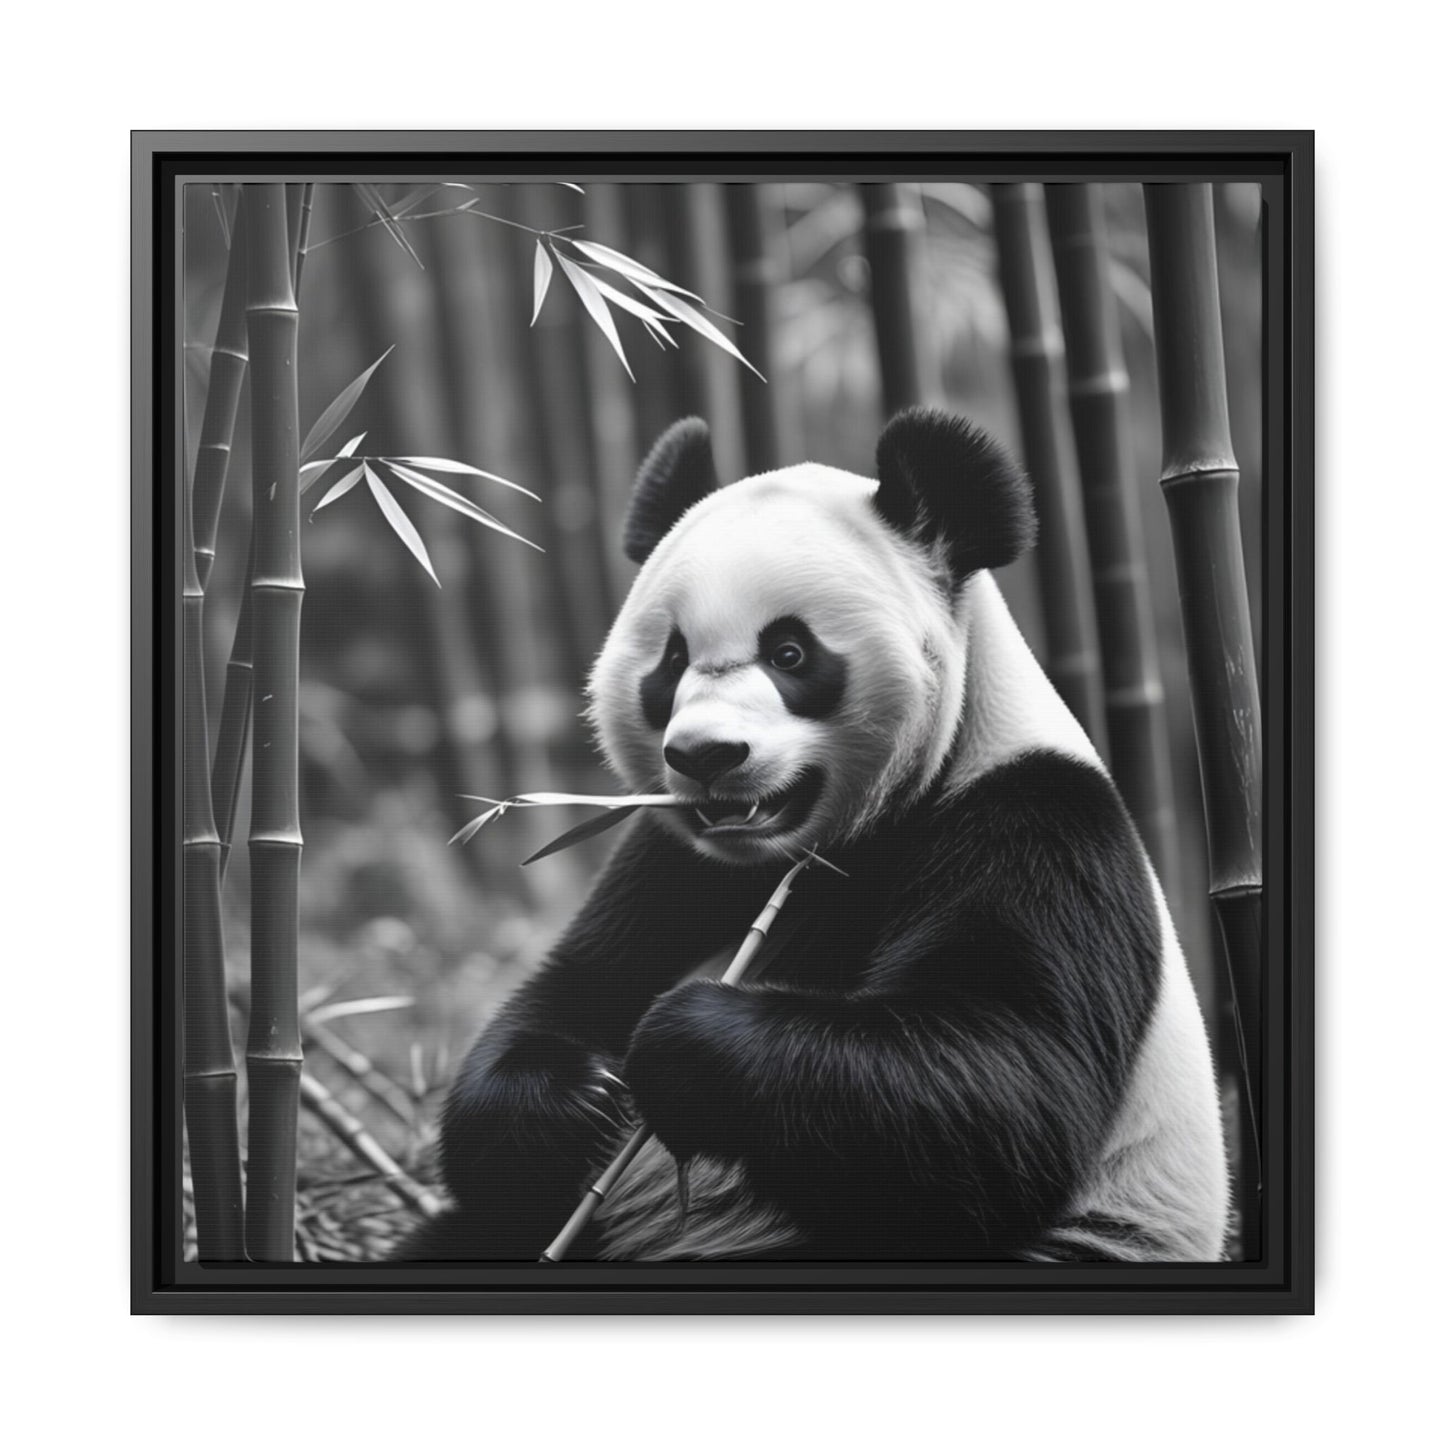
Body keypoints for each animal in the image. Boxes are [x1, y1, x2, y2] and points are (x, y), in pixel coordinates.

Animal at [402, 409, 1228, 1263]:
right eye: (672, 660)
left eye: (789, 652)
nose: (705, 755)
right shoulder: (675, 860)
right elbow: (565, 994)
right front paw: (580, 1097)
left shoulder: (1035, 821)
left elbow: (1002, 1084)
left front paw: (679, 1041)